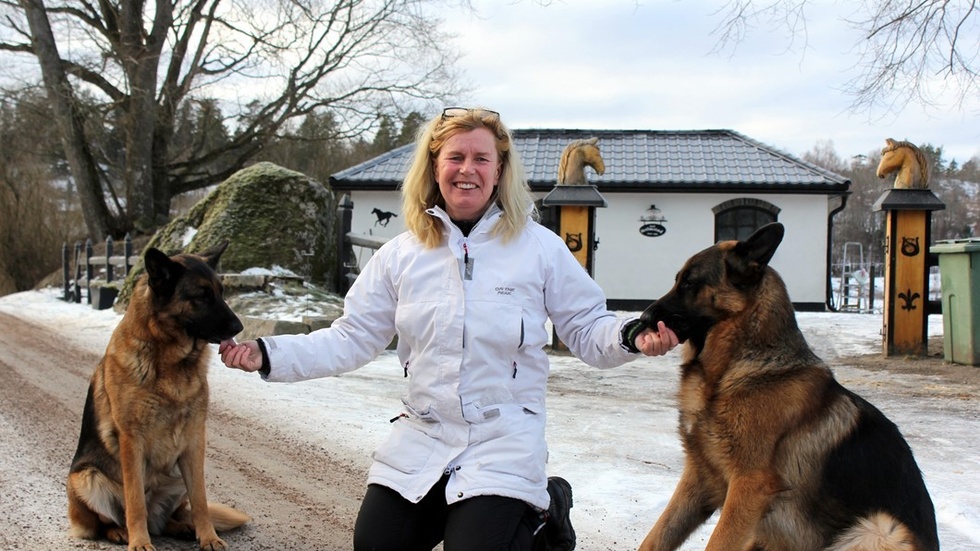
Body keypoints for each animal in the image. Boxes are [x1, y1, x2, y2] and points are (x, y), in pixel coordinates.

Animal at [68, 246, 249, 551]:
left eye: (221, 292)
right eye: (201, 296)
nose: (239, 327)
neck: (172, 362)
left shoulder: (194, 442)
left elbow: (200, 501)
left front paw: (208, 537)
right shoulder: (132, 442)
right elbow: (135, 502)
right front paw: (140, 542)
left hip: (177, 476)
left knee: (168, 519)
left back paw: (181, 527)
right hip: (86, 477)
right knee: (106, 522)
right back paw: (121, 532)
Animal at [640, 223, 936, 551]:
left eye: (690, 283)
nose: (643, 318)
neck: (733, 371)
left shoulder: (749, 485)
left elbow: (716, 543)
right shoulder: (699, 478)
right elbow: (655, 538)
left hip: (881, 529)